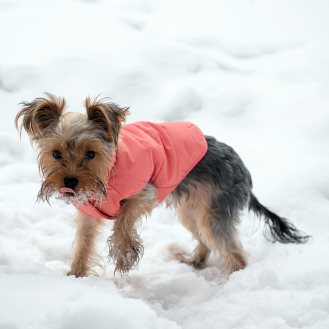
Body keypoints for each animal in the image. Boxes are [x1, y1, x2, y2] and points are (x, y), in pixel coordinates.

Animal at [14, 93, 308, 276]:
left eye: (90, 154)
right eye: (56, 154)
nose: (70, 182)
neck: (108, 173)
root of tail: (244, 169)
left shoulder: (144, 193)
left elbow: (124, 220)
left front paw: (124, 255)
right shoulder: (88, 213)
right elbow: (83, 246)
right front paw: (75, 278)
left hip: (216, 209)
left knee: (233, 252)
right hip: (192, 210)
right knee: (205, 238)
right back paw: (194, 261)